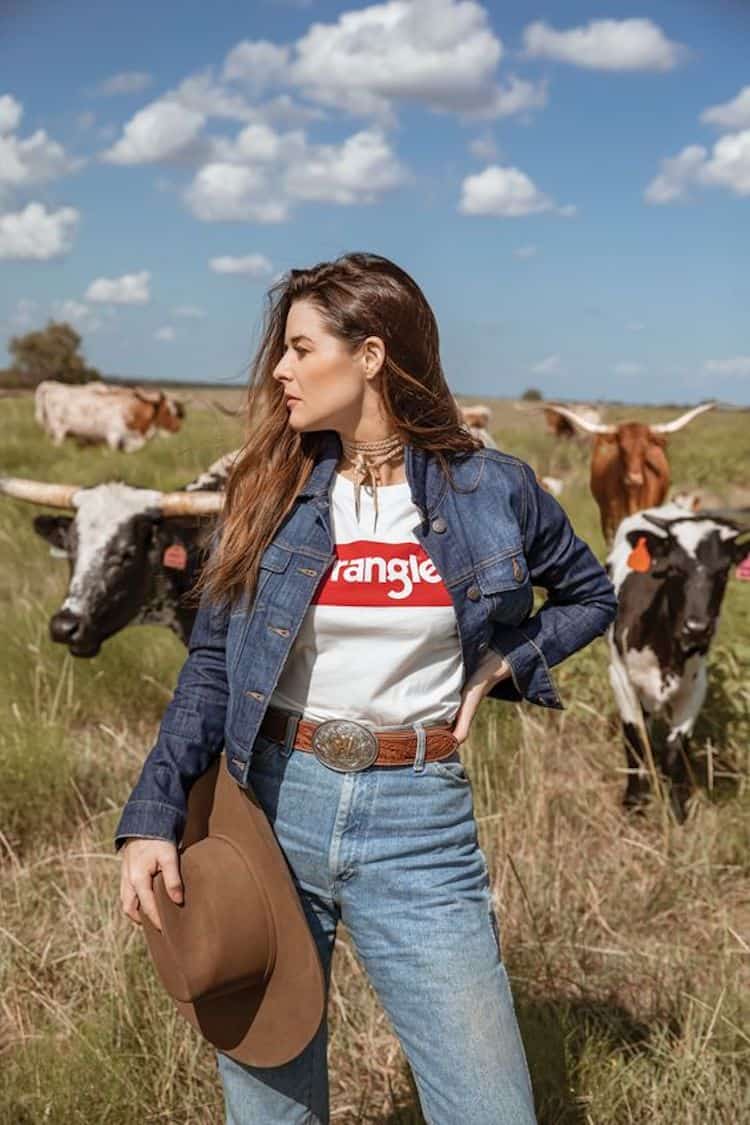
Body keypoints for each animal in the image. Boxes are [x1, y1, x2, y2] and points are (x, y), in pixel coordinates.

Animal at [34, 382, 187, 452]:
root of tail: (51, 387)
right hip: (58, 432)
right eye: (167, 411)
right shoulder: (113, 437)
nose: (178, 427)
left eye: (176, 410)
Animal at [602, 501, 750, 819]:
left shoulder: (695, 687)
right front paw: (633, 803)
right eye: (674, 569)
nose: (696, 628)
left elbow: (675, 750)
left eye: (723, 572)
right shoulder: (620, 679)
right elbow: (634, 740)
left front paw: (676, 810)